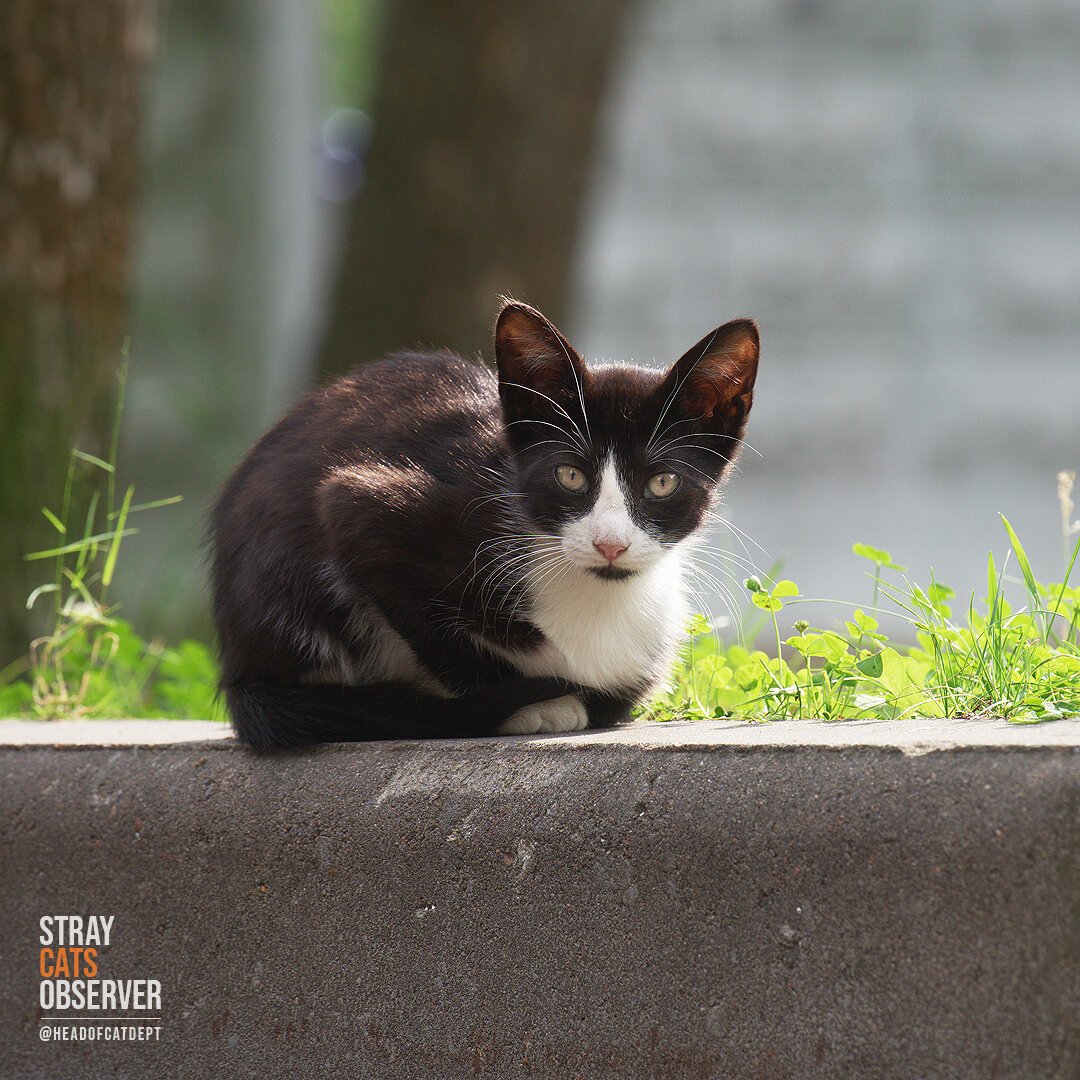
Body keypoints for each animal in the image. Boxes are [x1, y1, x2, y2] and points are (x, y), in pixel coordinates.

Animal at [210, 300, 760, 747]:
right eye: (570, 475)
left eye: (662, 482)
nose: (610, 545)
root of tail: (238, 666)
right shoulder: (361, 506)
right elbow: (437, 635)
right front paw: (525, 705)